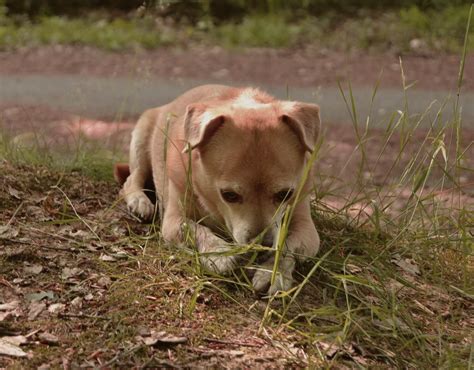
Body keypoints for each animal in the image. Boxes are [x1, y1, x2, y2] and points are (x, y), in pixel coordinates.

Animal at [115, 84, 322, 294]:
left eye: (285, 194)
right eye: (229, 195)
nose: (262, 246)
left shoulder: (307, 229)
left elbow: (288, 247)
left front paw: (274, 271)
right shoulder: (173, 221)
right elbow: (194, 228)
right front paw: (219, 253)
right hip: (141, 142)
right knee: (132, 179)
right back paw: (139, 201)